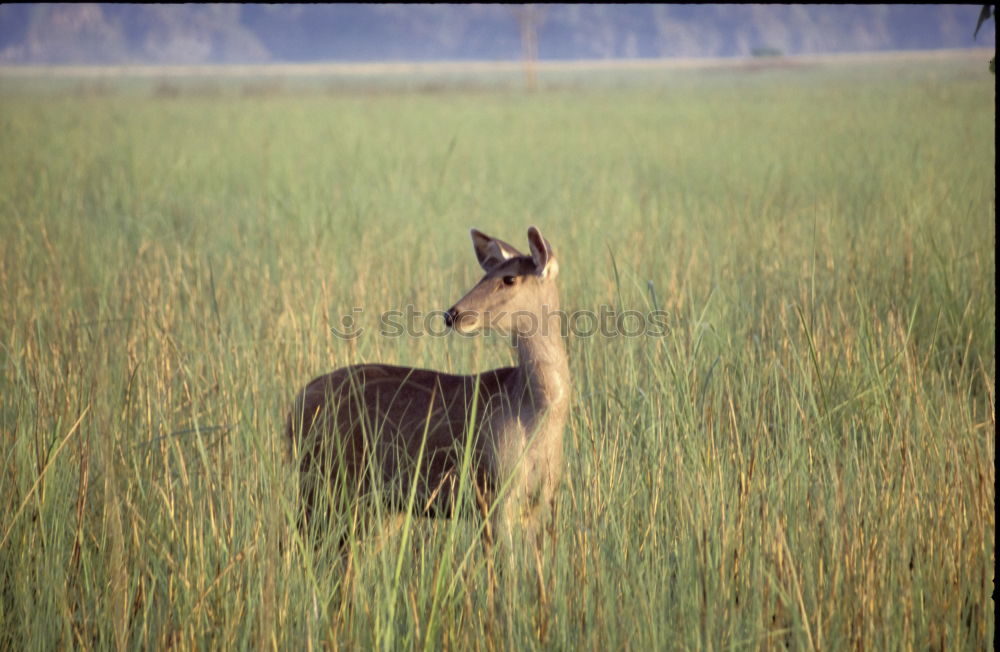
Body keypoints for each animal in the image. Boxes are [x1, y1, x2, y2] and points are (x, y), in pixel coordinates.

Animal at [290, 225, 572, 572]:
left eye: (509, 278)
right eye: (485, 274)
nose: (453, 314)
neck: (534, 414)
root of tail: (296, 403)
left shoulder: (539, 502)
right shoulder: (492, 491)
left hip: (374, 502)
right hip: (322, 480)